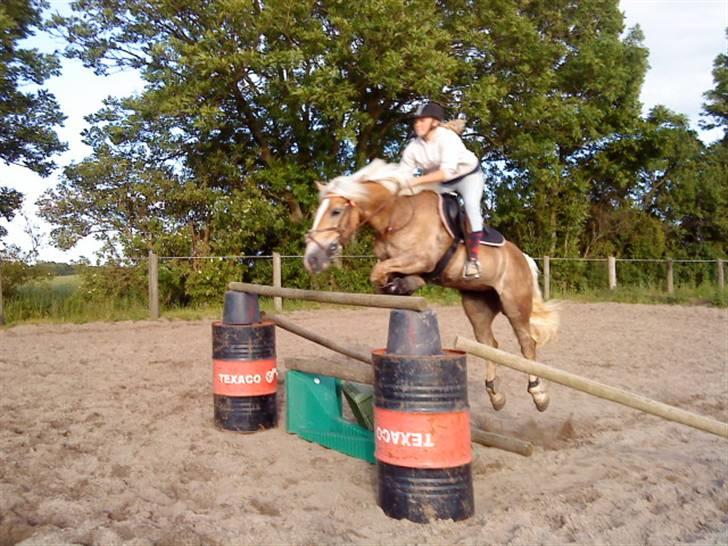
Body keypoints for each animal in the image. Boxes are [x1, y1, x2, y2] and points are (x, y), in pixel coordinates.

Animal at [304, 157, 560, 408]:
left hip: (514, 303)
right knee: (489, 344)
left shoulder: (422, 259)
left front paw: (398, 286)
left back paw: (539, 394)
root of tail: (523, 258)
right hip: (477, 305)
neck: (397, 216)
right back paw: (495, 394)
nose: (312, 259)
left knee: (527, 343)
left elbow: (378, 271)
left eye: (336, 211)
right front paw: (401, 287)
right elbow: (383, 274)